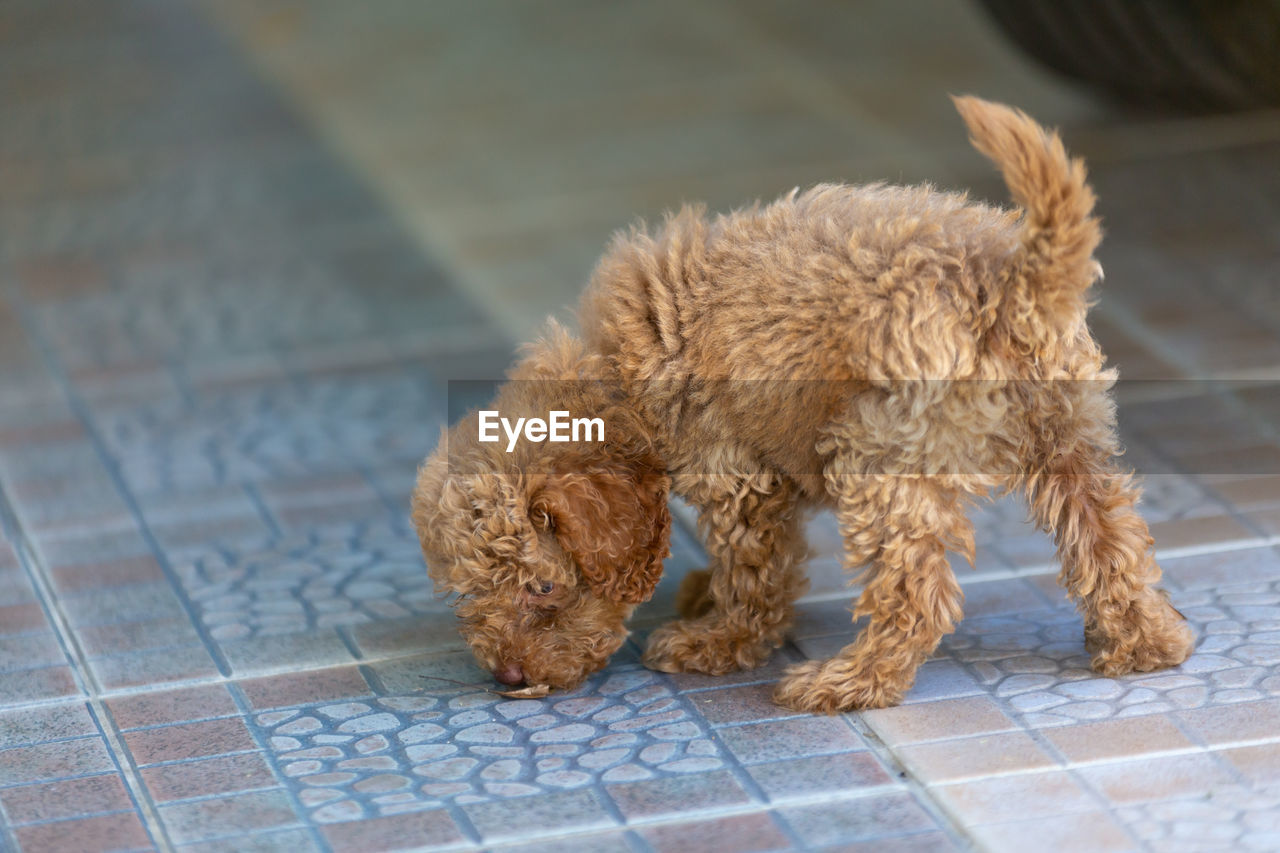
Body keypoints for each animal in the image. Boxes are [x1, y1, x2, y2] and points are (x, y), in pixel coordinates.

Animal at [414, 96, 1192, 712]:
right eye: (470, 592)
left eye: (542, 588)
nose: (508, 677)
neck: (618, 370)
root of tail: (1004, 282)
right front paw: (702, 593)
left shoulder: (738, 476)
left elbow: (754, 574)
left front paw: (719, 638)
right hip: (1070, 432)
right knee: (1112, 537)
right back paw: (1145, 642)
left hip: (879, 450)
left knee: (918, 592)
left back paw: (848, 683)